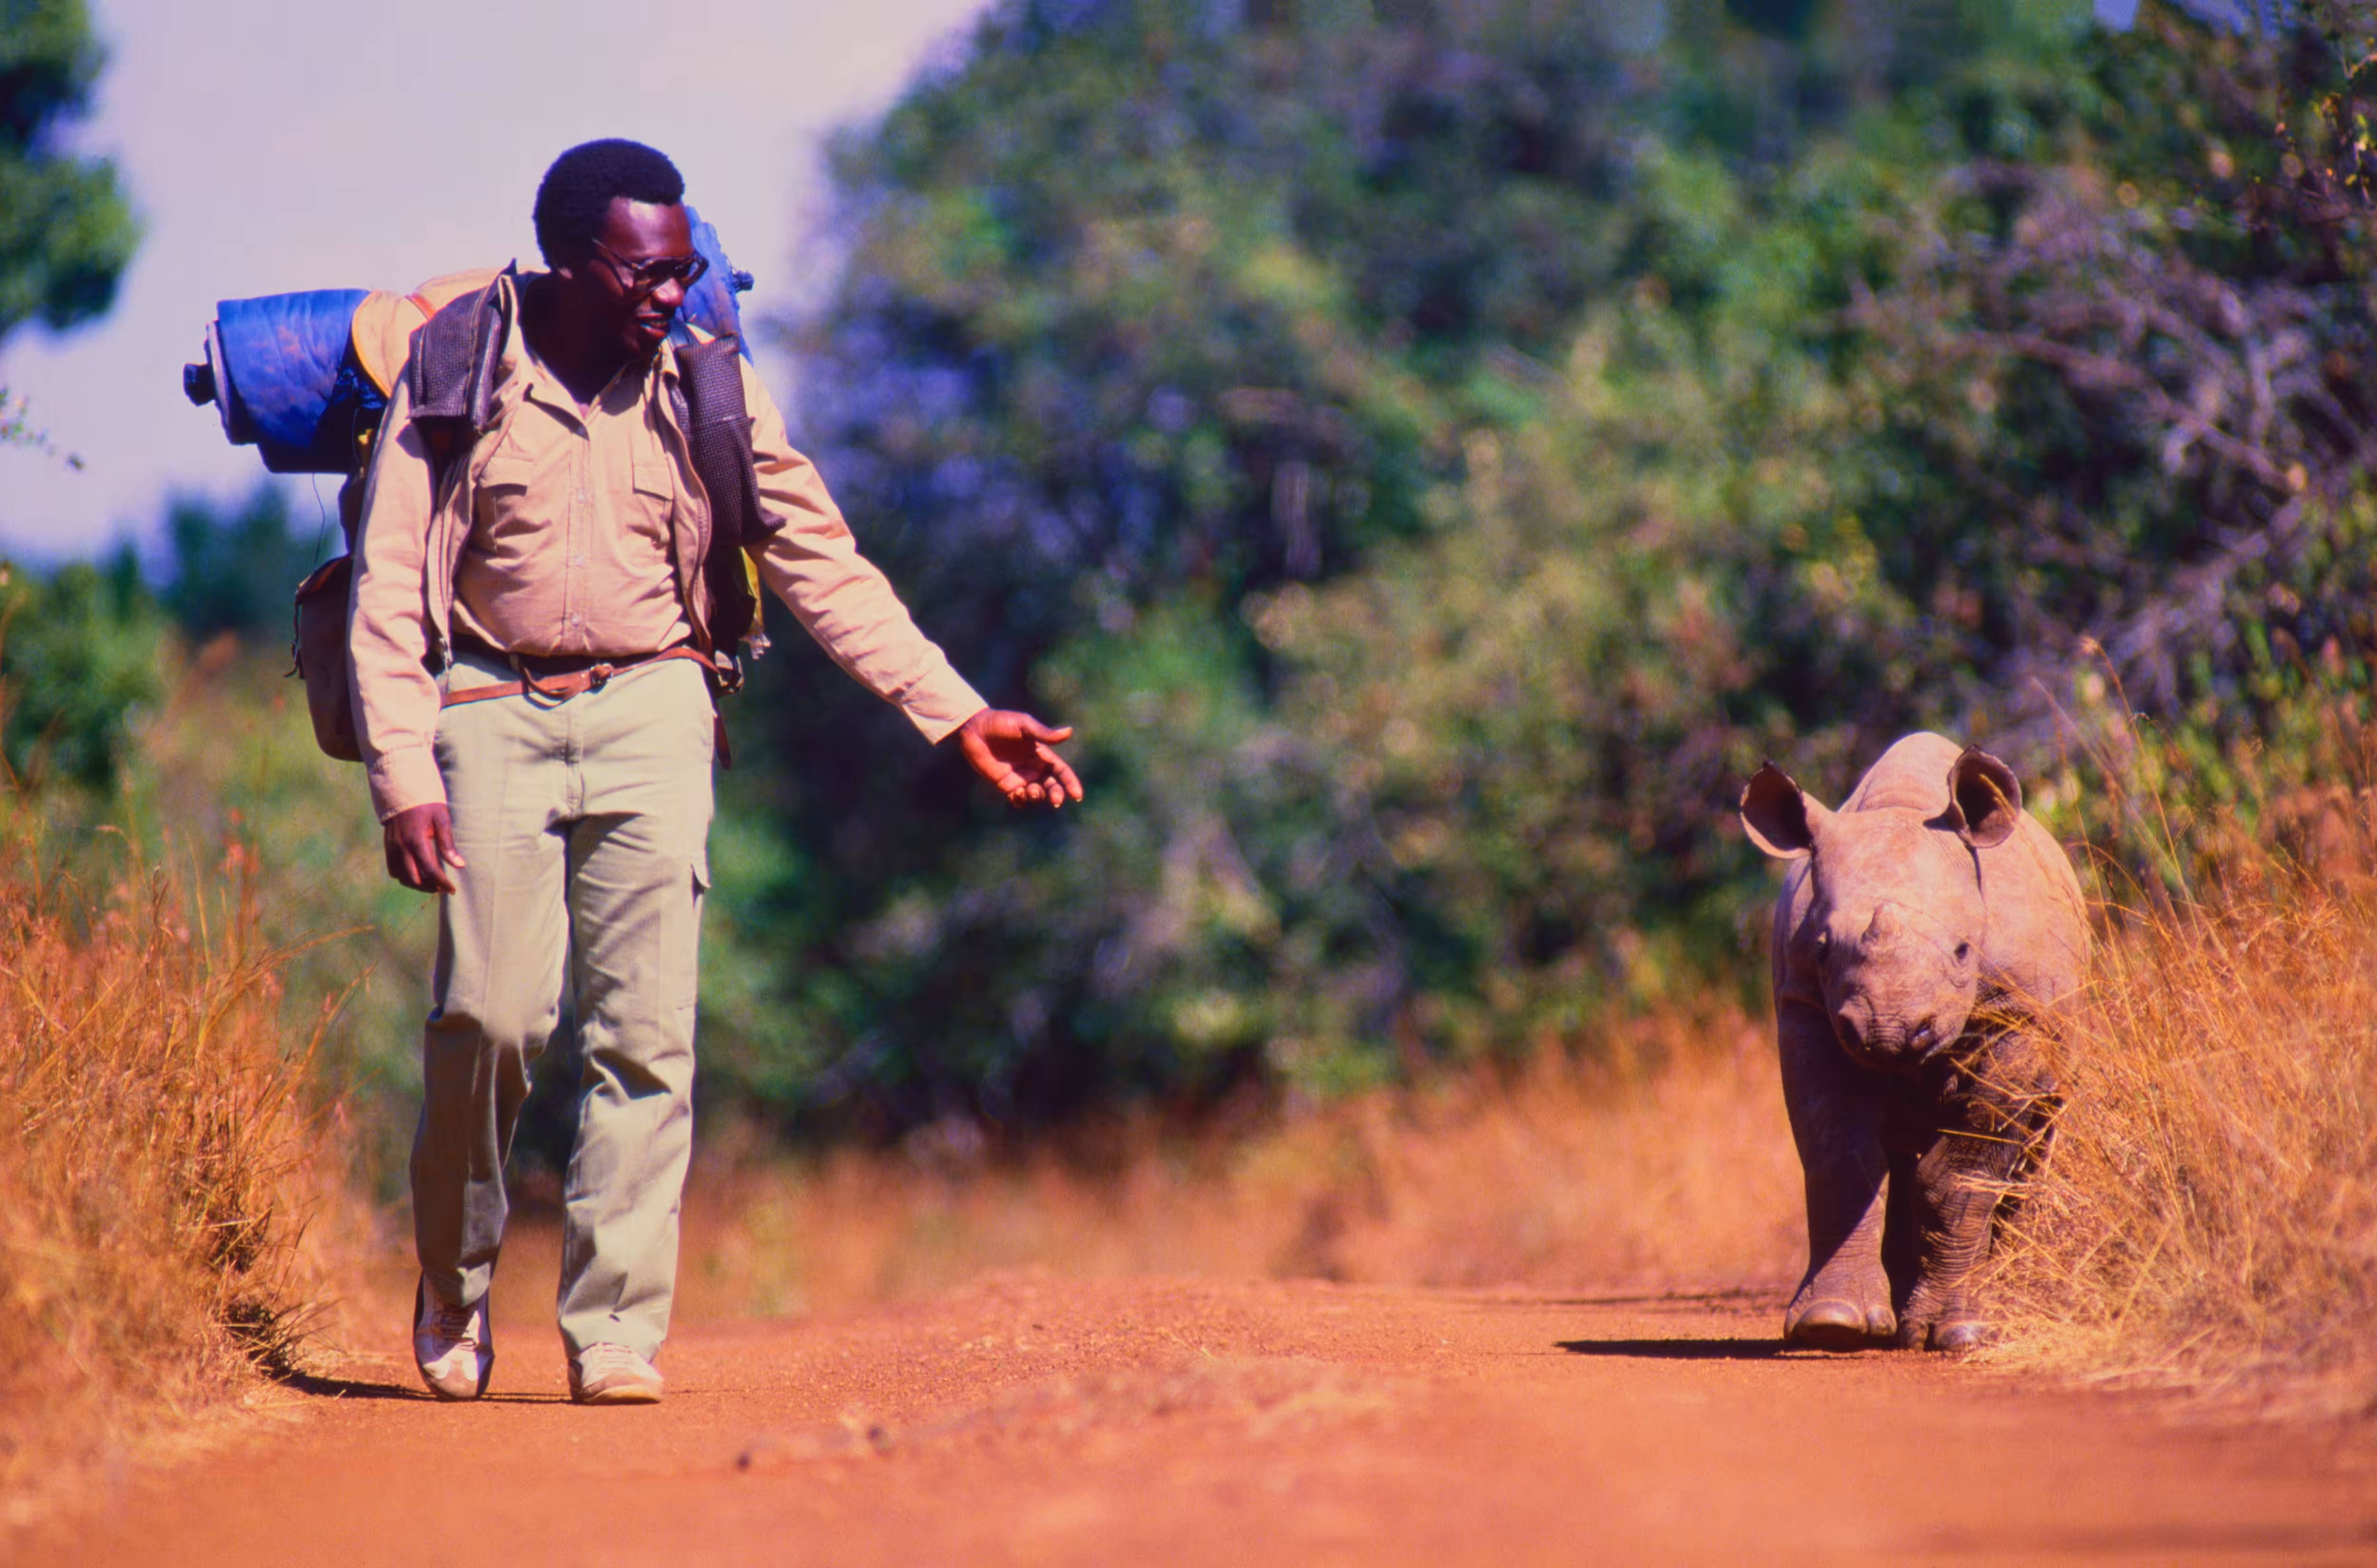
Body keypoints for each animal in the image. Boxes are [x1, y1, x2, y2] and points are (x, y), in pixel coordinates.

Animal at [1740, 732, 2088, 1352]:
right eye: (1823, 950)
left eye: (1962, 950)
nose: (1888, 1032)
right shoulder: (1806, 1006)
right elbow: (1842, 1157)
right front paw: (1830, 1324)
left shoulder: (2019, 1014)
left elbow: (1965, 1169)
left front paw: (1959, 1333)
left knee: (2032, 1144)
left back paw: (1999, 1310)